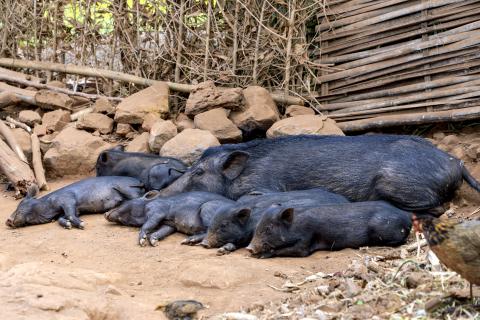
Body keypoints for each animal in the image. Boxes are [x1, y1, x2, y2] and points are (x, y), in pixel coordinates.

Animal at [158, 134, 480, 216]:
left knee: (438, 208)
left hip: (396, 182)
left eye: (199, 172)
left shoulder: (266, 184)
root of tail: (457, 163)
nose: (154, 193)